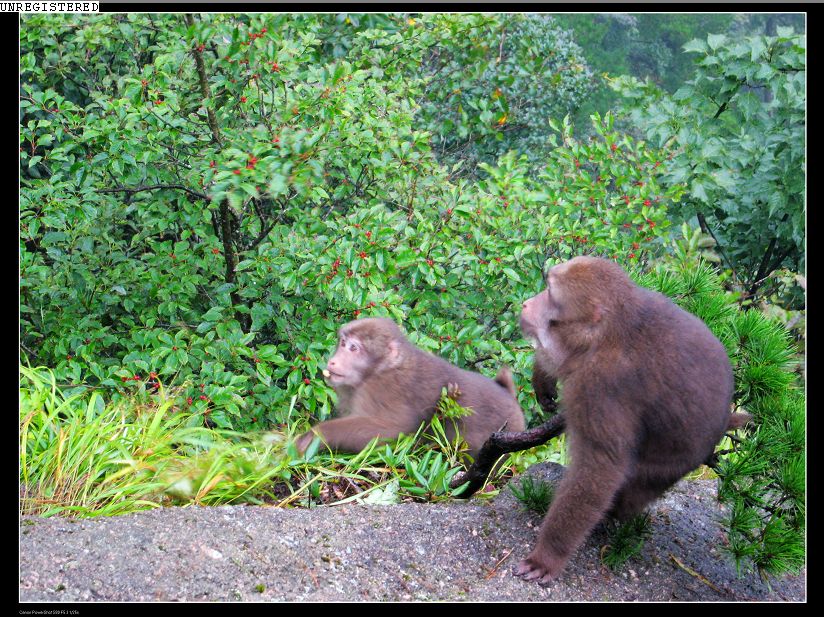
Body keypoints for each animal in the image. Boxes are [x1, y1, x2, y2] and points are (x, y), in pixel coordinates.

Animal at [298, 318, 528, 458]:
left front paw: (316, 436)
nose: (333, 361)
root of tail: (509, 395)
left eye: (354, 348)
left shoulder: (382, 389)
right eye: (343, 343)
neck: (380, 369)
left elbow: (394, 430)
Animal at [520, 255, 736, 584]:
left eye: (550, 294)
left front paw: (548, 555)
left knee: (635, 488)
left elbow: (601, 466)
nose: (527, 304)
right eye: (546, 286)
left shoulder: (600, 389)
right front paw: (542, 378)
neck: (606, 333)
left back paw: (614, 513)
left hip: (676, 461)